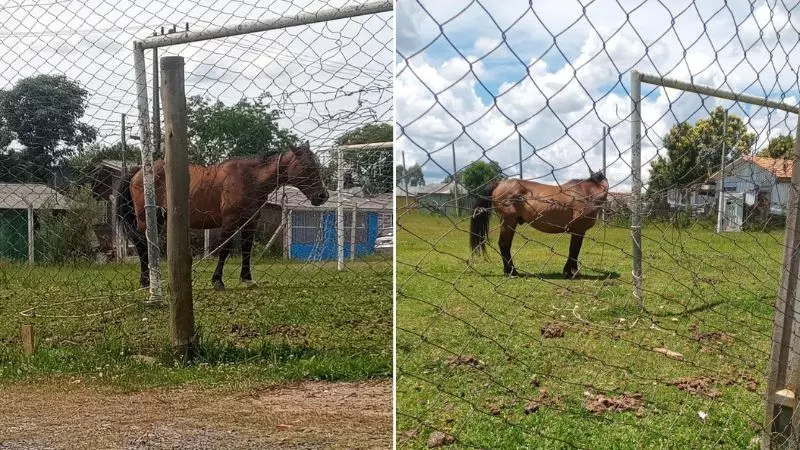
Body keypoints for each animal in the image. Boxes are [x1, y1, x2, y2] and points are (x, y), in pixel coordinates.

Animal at [118, 142, 328, 292]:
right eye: (307, 167)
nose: (322, 196)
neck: (249, 178)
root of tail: (139, 171)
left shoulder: (251, 222)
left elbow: (246, 249)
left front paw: (247, 279)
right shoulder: (229, 222)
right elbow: (225, 250)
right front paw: (217, 281)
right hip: (146, 219)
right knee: (142, 247)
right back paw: (146, 281)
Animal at [468, 172, 608, 278]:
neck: (586, 192)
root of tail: (499, 183)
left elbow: (573, 250)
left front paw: (568, 271)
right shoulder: (579, 230)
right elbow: (574, 250)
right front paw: (572, 272)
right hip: (509, 221)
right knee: (504, 244)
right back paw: (512, 272)